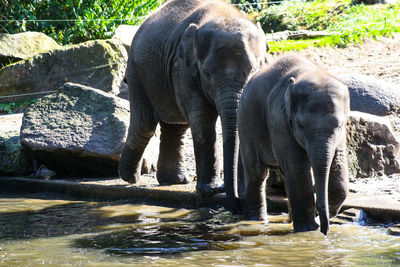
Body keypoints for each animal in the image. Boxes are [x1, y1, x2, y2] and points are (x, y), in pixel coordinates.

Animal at [119, 0, 268, 214]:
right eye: (206, 73)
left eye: (254, 70)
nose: (236, 205)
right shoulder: (182, 67)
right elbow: (203, 120)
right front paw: (211, 190)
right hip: (137, 72)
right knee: (145, 124)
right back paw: (130, 178)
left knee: (176, 126)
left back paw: (174, 181)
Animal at [238, 54, 350, 234]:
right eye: (301, 125)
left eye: (339, 125)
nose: (324, 231)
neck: (312, 72)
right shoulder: (280, 121)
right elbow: (298, 167)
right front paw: (308, 229)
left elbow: (338, 164)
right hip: (246, 123)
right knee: (257, 172)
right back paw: (257, 221)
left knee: (283, 173)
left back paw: (288, 219)